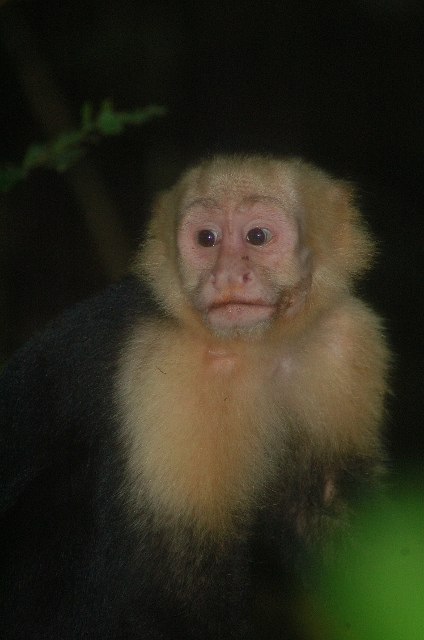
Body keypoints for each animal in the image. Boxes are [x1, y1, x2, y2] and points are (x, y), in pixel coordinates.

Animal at [0, 156, 390, 640]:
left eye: (257, 237)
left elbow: (338, 520)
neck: (256, 348)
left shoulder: (347, 343)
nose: (226, 276)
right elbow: (164, 592)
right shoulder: (169, 375)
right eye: (206, 239)